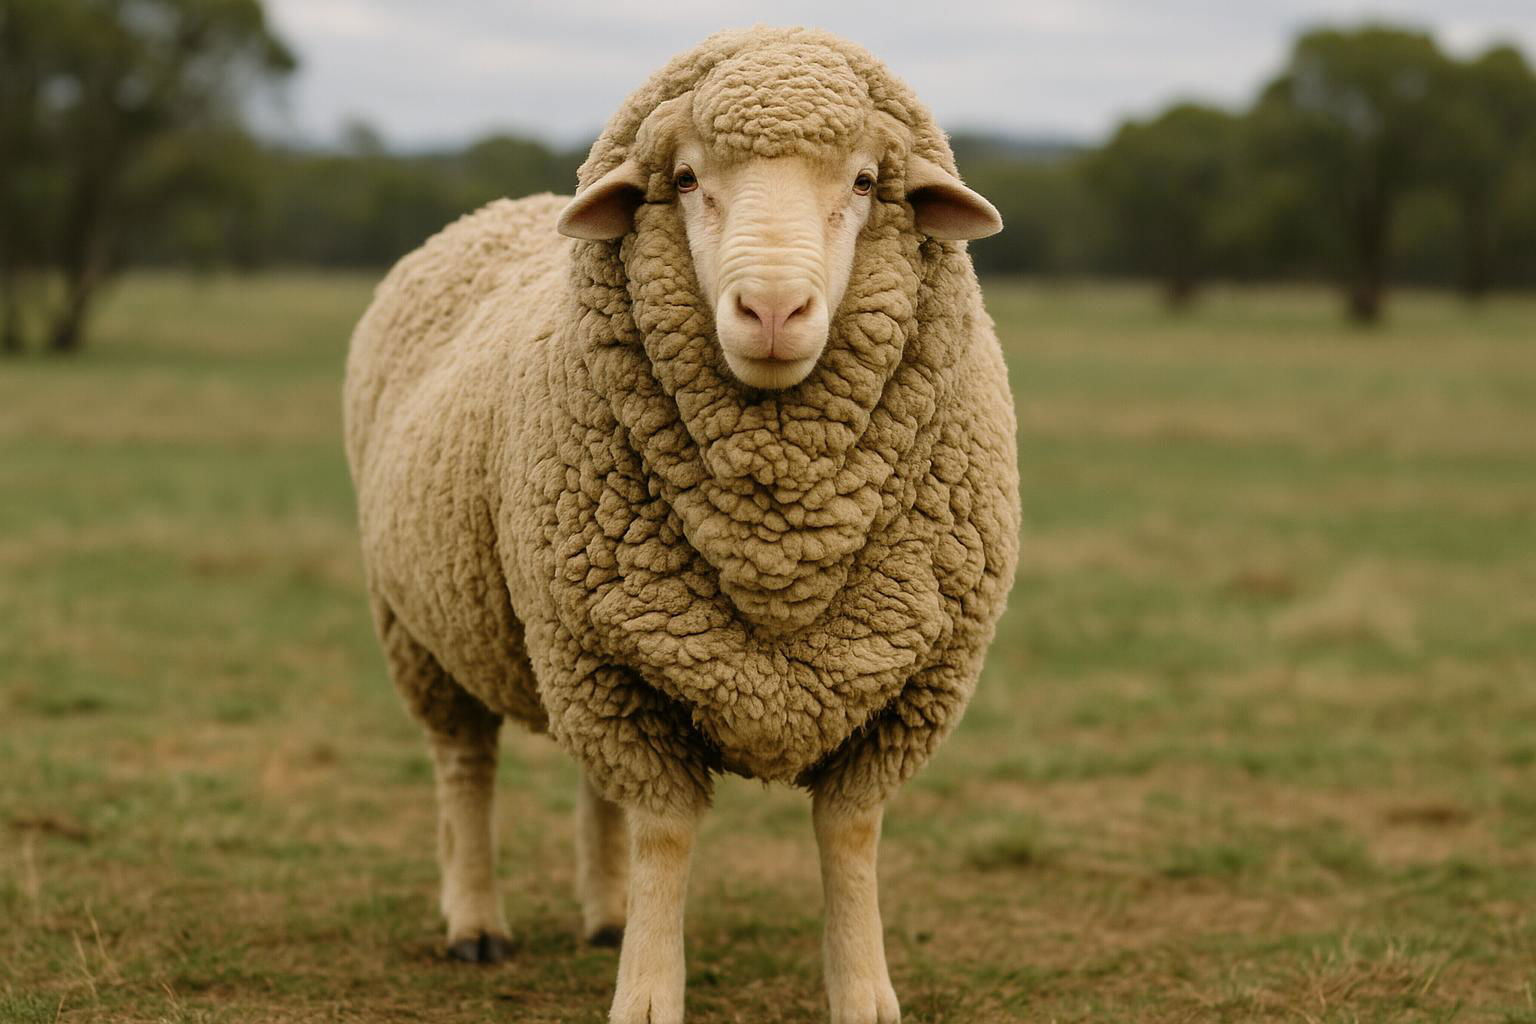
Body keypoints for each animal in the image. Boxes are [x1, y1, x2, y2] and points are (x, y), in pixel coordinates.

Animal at [343, 26, 1020, 1024]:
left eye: (866, 181)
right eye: (690, 178)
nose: (772, 310)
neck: (780, 538)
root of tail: (507, 206)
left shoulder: (910, 684)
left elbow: (850, 836)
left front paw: (864, 992)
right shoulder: (601, 664)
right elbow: (665, 833)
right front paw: (650, 994)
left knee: (594, 789)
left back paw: (606, 915)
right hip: (428, 629)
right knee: (465, 766)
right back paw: (475, 923)